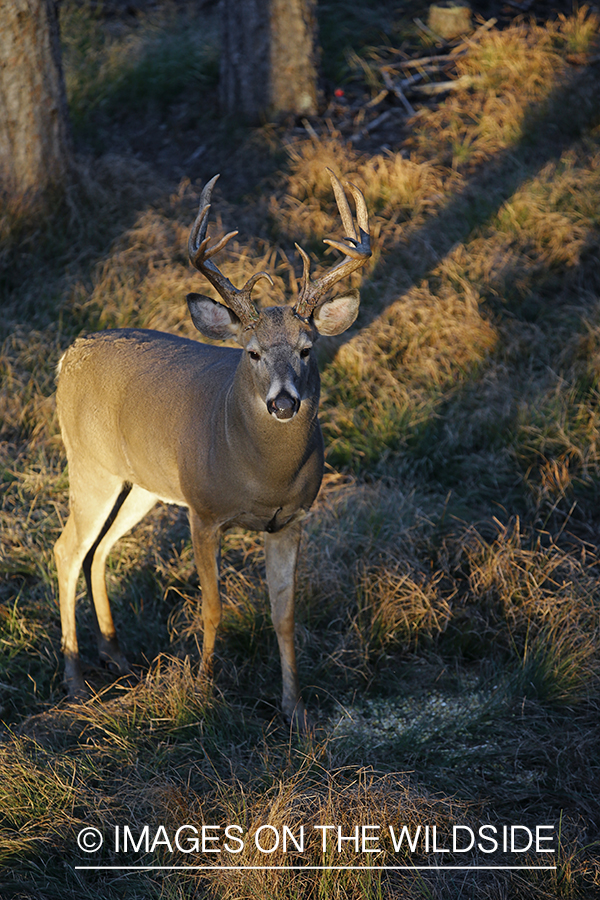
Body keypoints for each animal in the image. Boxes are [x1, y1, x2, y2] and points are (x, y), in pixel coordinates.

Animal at [54, 169, 370, 732]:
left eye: (307, 349)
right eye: (253, 353)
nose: (284, 402)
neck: (263, 477)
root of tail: (69, 355)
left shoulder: (292, 520)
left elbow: (284, 614)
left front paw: (296, 709)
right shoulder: (203, 512)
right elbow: (213, 606)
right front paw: (204, 688)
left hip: (141, 483)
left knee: (101, 548)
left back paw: (116, 654)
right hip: (88, 465)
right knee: (67, 550)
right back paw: (74, 681)